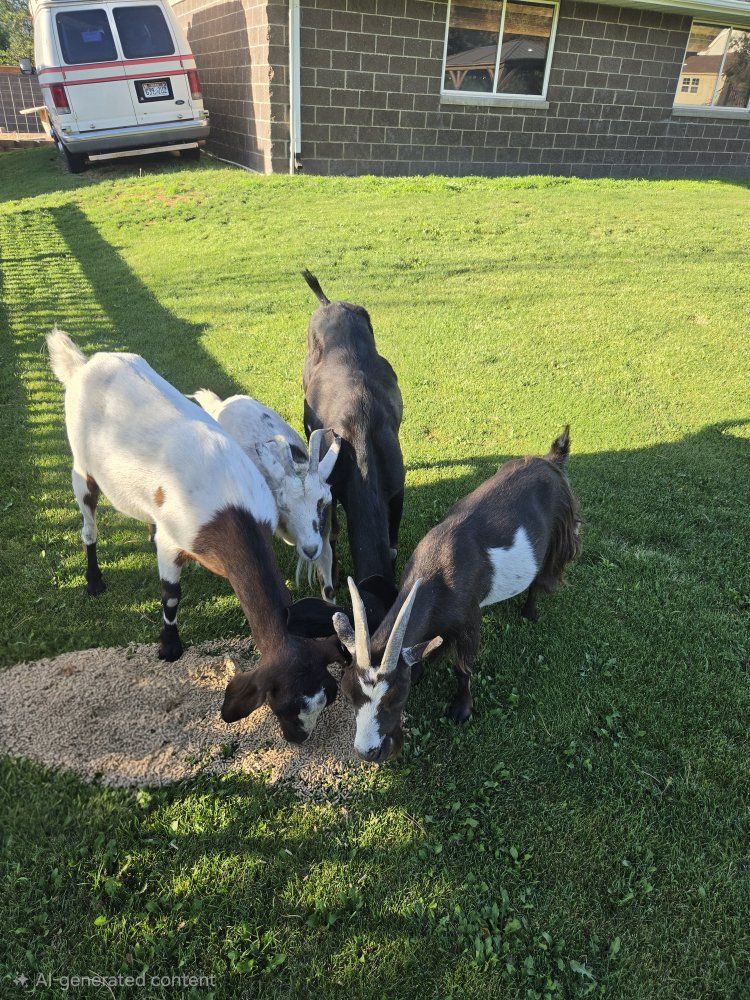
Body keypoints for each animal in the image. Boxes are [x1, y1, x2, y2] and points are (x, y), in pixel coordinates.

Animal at [192, 389, 340, 602]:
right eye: (284, 506)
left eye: (321, 502)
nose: (310, 550)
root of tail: (221, 403)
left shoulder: (323, 536)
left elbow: (328, 587)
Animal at [334, 428, 581, 762]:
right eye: (348, 693)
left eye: (396, 698)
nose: (369, 752)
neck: (438, 573)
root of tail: (552, 460)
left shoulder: (468, 620)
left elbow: (463, 668)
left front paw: (462, 710)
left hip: (559, 534)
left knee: (542, 574)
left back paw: (530, 612)